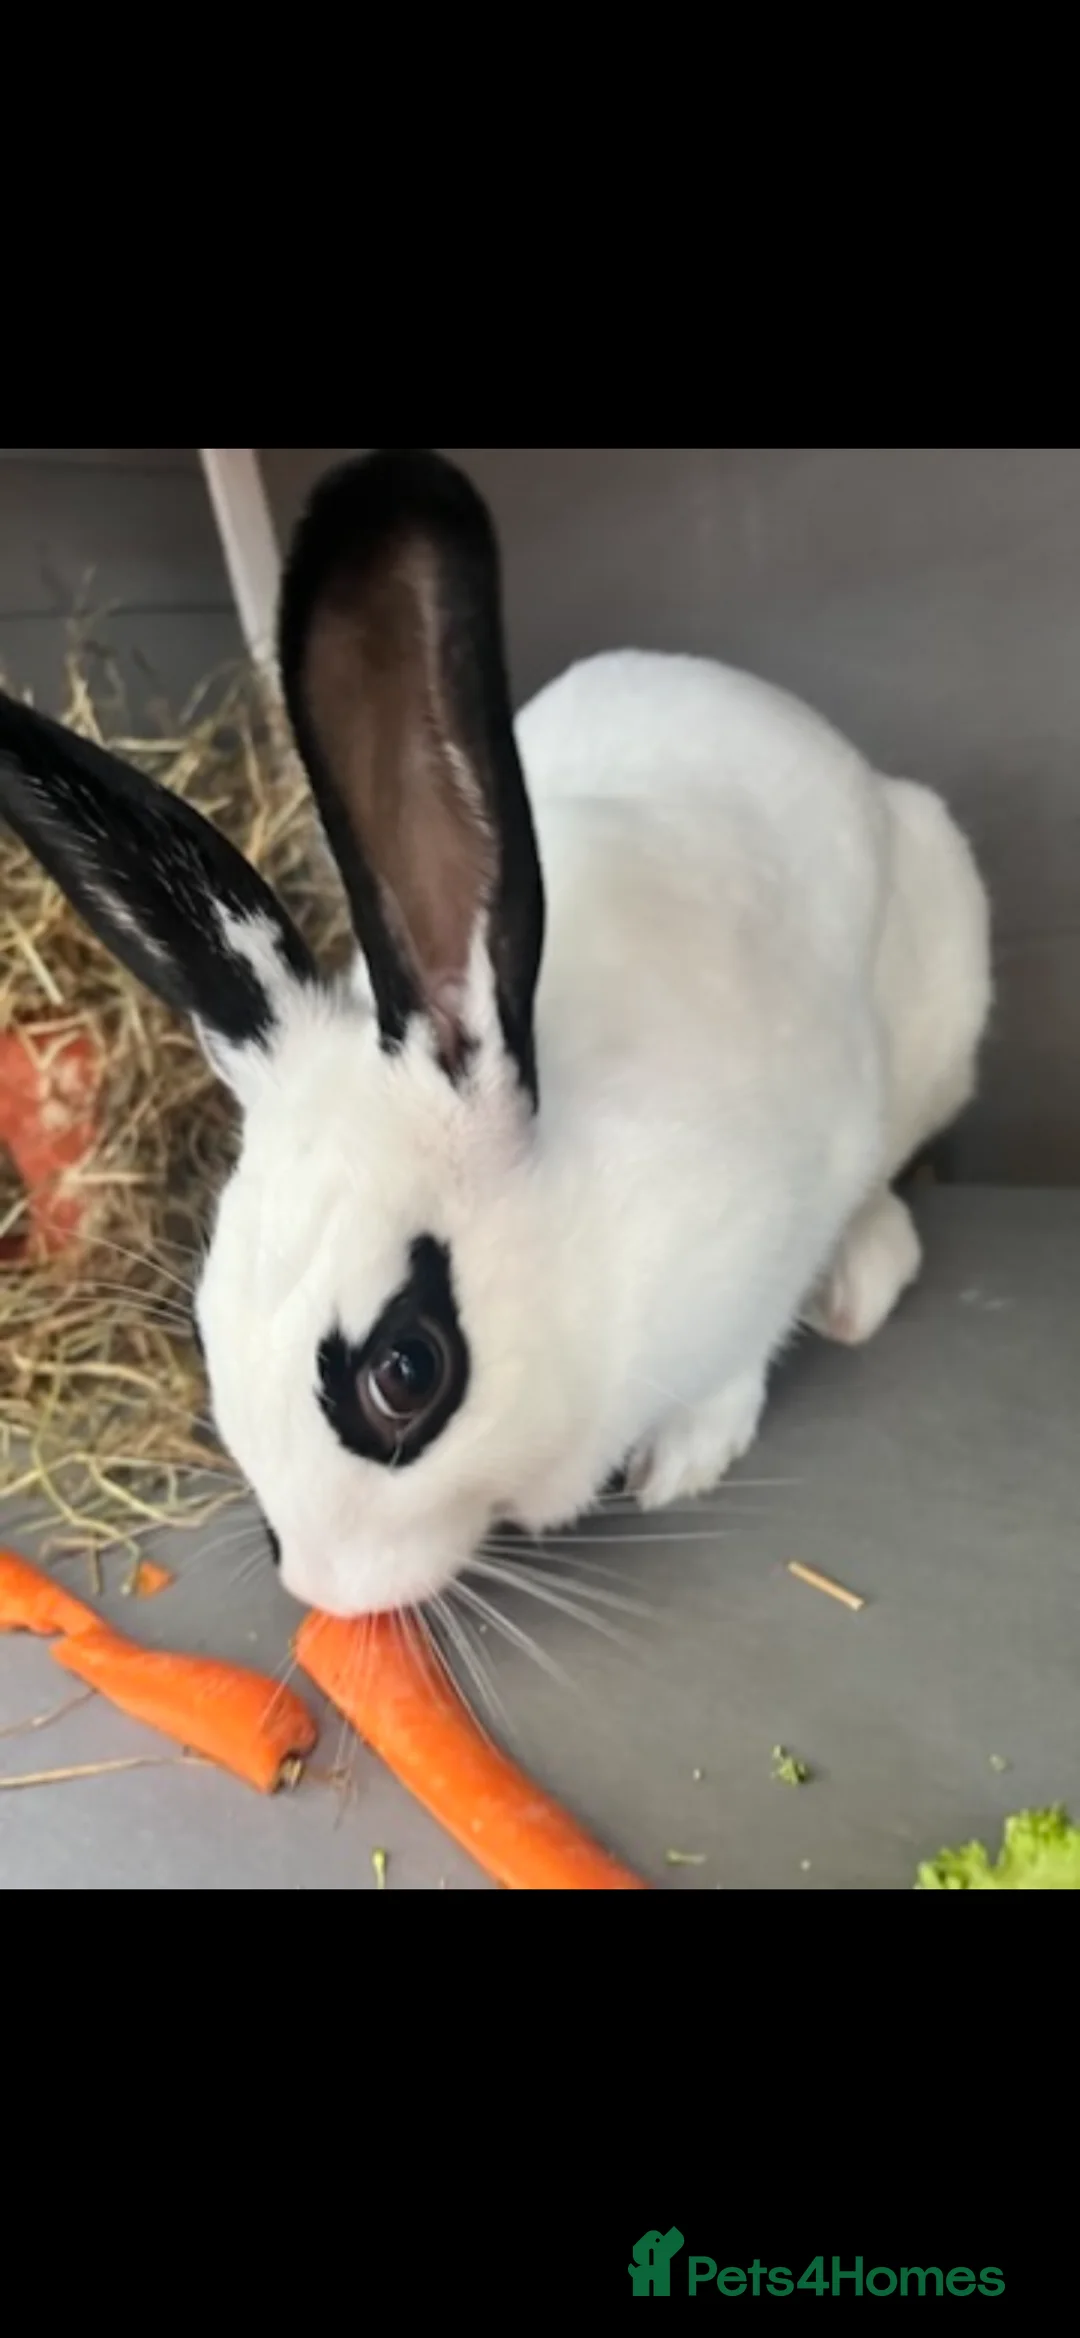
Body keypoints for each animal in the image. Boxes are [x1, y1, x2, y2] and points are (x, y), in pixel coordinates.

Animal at [0, 448, 992, 1617]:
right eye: (204, 1325)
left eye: (406, 1373)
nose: (320, 1588)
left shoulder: (786, 1200)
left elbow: (737, 1356)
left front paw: (681, 1459)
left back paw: (858, 1286)